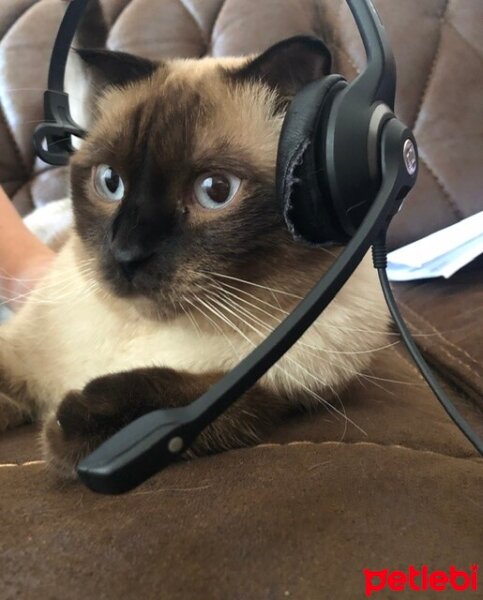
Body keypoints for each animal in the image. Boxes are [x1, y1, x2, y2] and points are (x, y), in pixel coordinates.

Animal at [0, 36, 392, 478]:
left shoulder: (272, 387)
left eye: (216, 190)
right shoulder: (14, 356)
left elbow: (188, 399)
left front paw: (75, 417)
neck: (143, 330)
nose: (127, 255)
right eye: (110, 182)